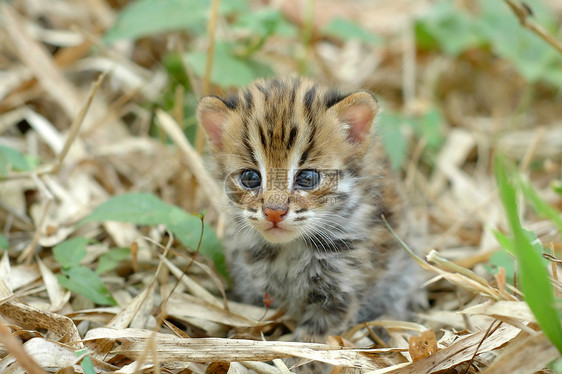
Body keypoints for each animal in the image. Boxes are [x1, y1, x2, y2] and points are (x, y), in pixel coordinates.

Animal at [197, 77, 420, 340]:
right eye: (250, 178)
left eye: (308, 178)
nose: (274, 212)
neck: (289, 250)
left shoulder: (340, 287)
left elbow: (316, 332)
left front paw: (301, 351)